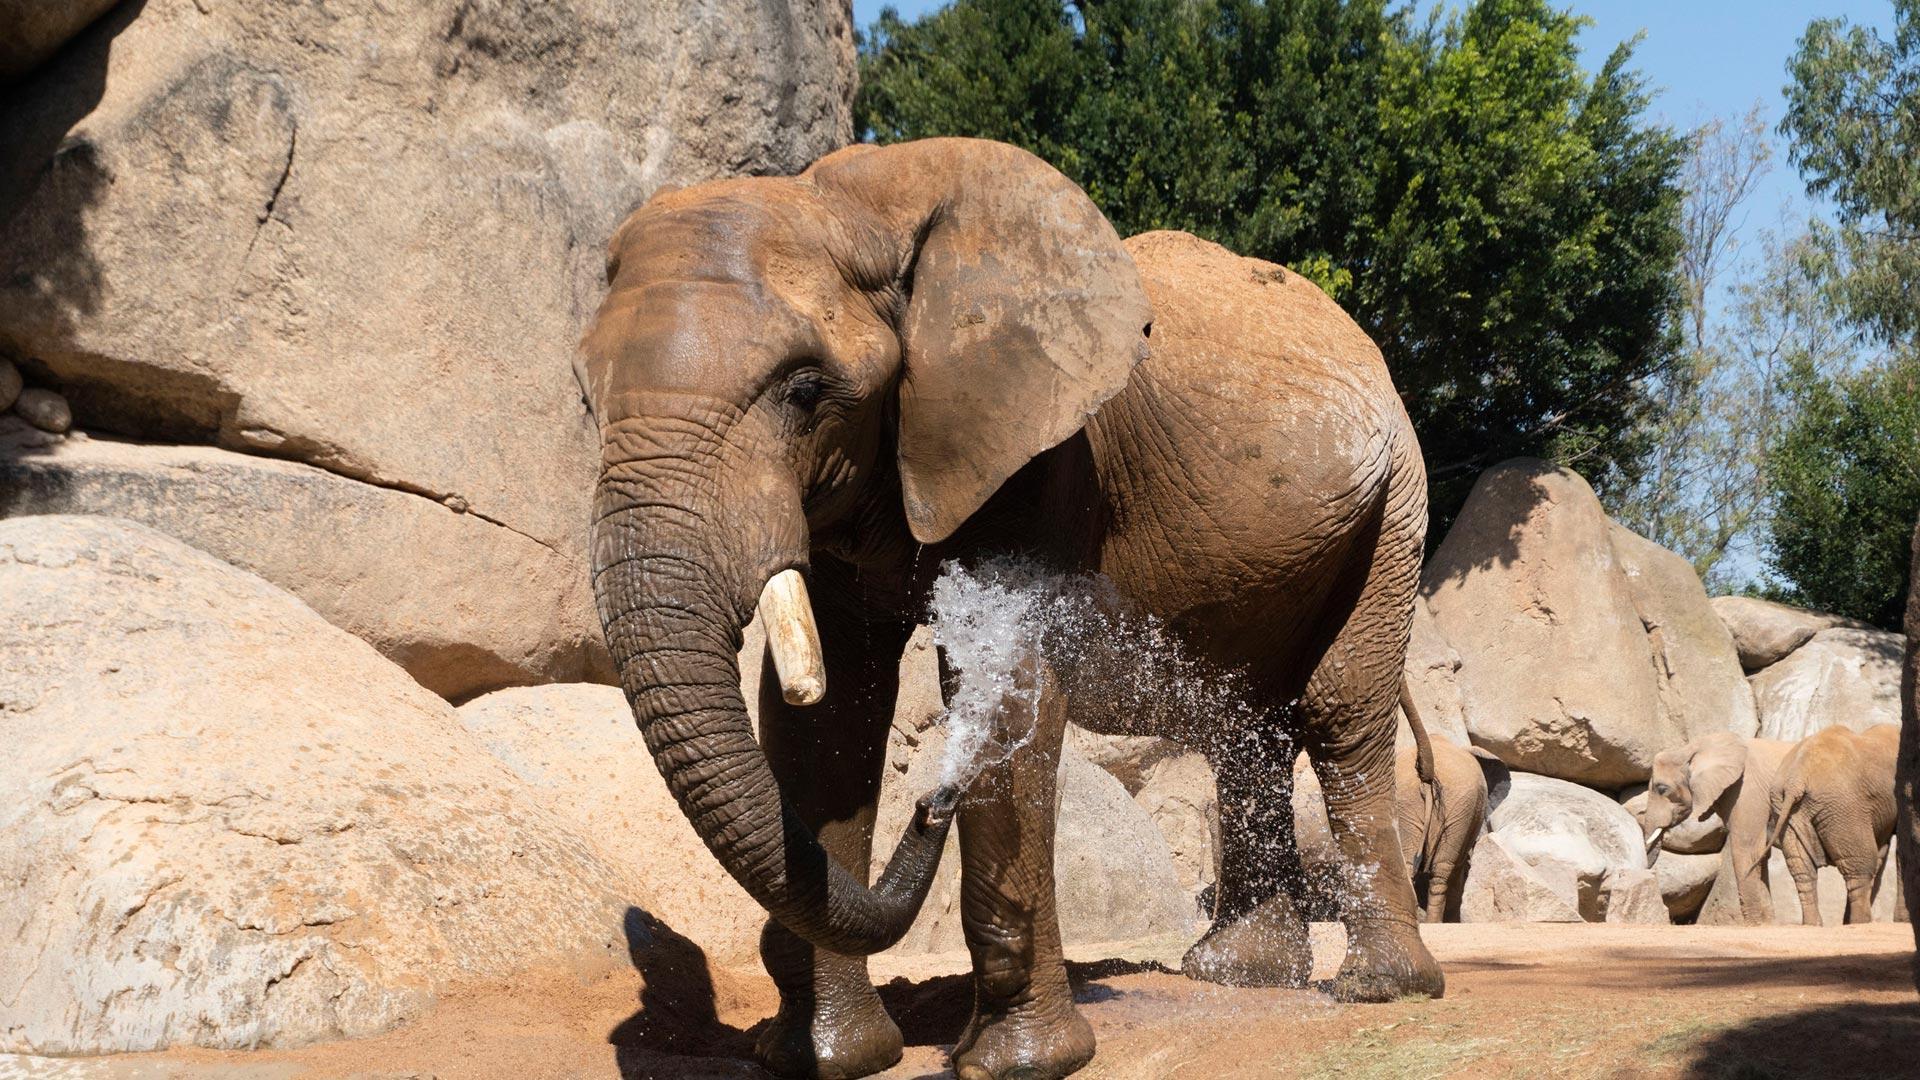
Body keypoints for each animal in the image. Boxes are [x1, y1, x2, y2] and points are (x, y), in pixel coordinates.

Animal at [579, 137, 1440, 1080]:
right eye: (586, 398)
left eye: (805, 391)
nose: (932, 803)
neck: (855, 205)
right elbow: (829, 714)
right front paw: (824, 1059)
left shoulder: (1047, 451)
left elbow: (1009, 687)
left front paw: (1016, 1065)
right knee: (1242, 724)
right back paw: (1237, 976)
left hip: (1396, 499)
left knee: (1339, 710)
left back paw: (1379, 988)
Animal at [1634, 732, 1795, 924]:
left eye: (1662, 789)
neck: (1692, 748)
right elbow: (1760, 856)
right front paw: (1768, 924)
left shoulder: (1747, 790)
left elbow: (1747, 851)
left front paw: (1756, 925)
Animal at [1769, 723, 1902, 925]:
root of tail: (1795, 780)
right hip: (1843, 807)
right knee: (1861, 865)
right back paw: (1860, 923)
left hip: (1788, 812)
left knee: (1803, 870)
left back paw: (1814, 925)